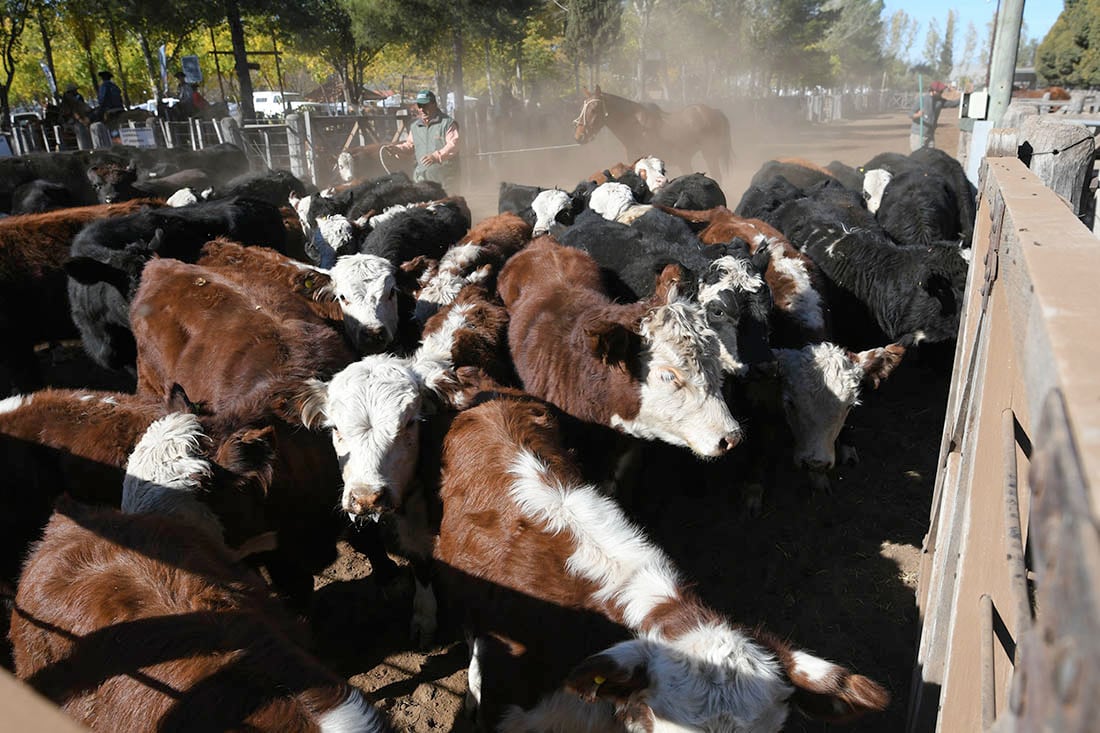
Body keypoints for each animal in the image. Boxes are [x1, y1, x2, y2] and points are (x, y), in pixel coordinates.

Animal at [572, 83, 734, 178]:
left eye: (594, 109)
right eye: (582, 108)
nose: (579, 136)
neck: (636, 126)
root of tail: (714, 111)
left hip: (710, 154)